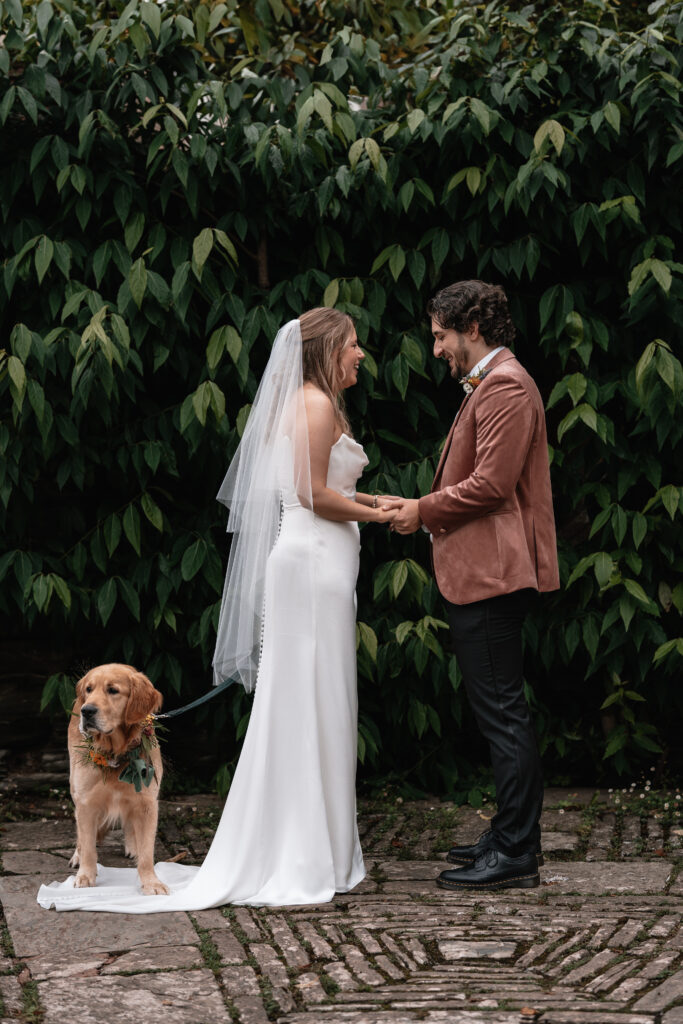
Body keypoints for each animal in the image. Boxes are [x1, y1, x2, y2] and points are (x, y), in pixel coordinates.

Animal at [67, 663, 169, 897]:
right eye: (89, 689)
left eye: (113, 690)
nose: (87, 710)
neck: (115, 752)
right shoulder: (86, 803)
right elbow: (88, 846)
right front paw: (85, 876)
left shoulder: (148, 803)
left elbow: (147, 853)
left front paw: (151, 882)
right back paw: (77, 855)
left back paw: (132, 845)